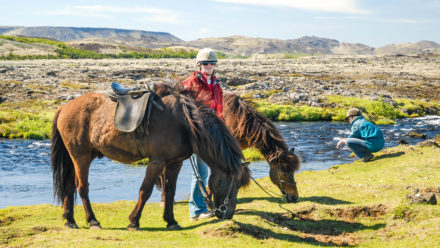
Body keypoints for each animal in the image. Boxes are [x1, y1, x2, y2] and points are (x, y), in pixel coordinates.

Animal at [49, 89, 249, 231]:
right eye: (234, 184)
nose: (228, 214)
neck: (184, 123)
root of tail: (65, 107)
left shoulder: (175, 163)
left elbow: (170, 191)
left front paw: (171, 221)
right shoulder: (156, 162)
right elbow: (145, 191)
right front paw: (134, 221)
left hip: (76, 158)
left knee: (69, 186)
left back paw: (70, 220)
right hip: (80, 157)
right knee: (82, 187)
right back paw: (92, 221)